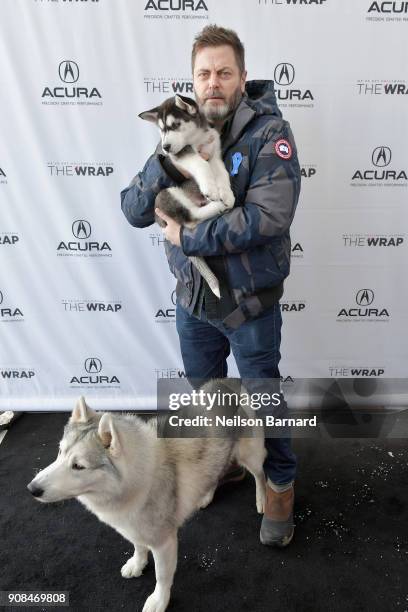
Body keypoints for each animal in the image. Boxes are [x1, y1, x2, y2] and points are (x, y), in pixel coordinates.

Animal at [27, 394, 266, 608]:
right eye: (60, 451)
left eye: (78, 466)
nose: (32, 489)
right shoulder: (133, 525)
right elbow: (138, 546)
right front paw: (138, 562)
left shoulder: (164, 541)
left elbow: (162, 576)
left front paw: (159, 600)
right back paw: (206, 495)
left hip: (250, 455)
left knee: (260, 475)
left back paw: (262, 499)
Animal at [140, 93, 236, 298]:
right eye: (161, 130)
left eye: (175, 125)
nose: (166, 147)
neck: (198, 137)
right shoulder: (181, 155)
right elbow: (201, 163)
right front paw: (211, 188)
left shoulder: (214, 152)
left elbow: (221, 173)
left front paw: (226, 193)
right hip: (164, 194)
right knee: (191, 219)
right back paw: (217, 206)